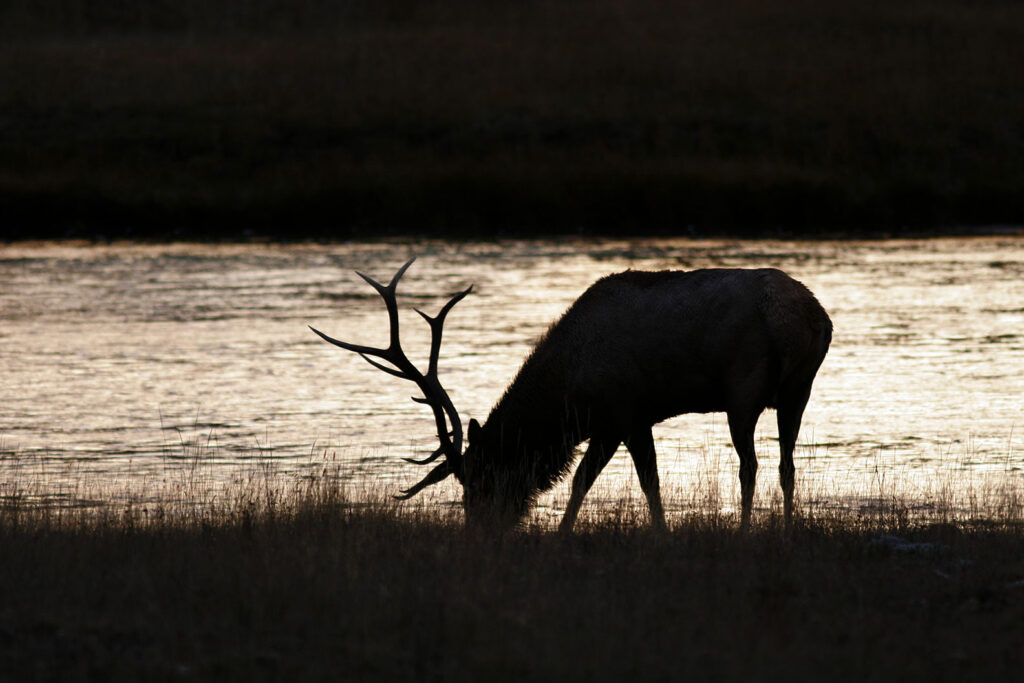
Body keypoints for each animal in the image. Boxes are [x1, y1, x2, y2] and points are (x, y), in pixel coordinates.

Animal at [310, 257, 832, 532]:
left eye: (480, 479)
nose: (480, 531)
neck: (570, 398)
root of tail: (808, 319)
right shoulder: (615, 423)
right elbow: (593, 481)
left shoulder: (626, 413)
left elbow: (636, 483)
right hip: (799, 389)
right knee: (786, 464)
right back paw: (786, 531)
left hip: (742, 388)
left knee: (751, 465)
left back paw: (744, 532)